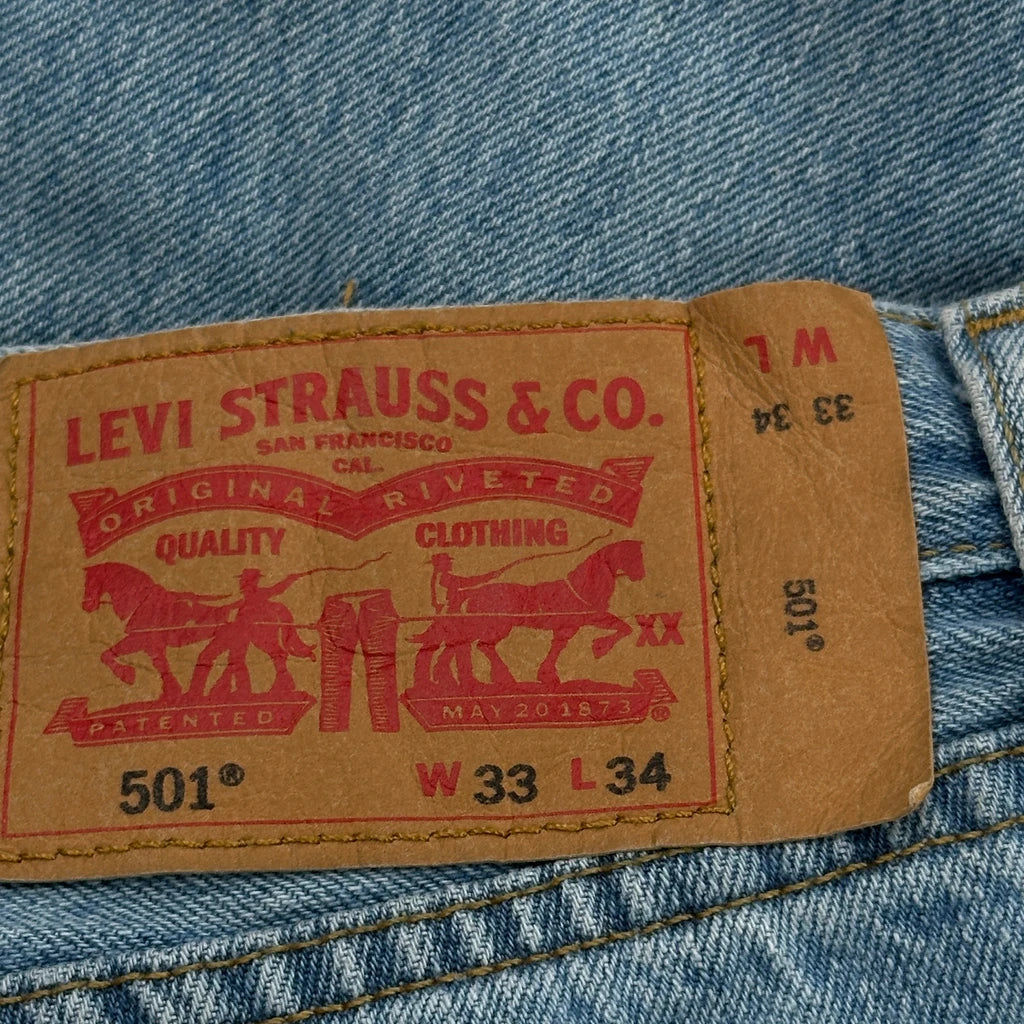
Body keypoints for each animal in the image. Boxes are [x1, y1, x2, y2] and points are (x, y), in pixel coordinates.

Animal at [412, 540, 645, 688]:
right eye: (633, 556)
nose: (640, 575)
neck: (583, 586)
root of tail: (474, 592)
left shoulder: (570, 626)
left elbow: (558, 646)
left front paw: (548, 676)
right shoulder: (588, 619)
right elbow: (624, 627)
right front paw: (599, 648)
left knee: (462, 644)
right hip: (497, 625)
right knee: (478, 645)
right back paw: (498, 679)